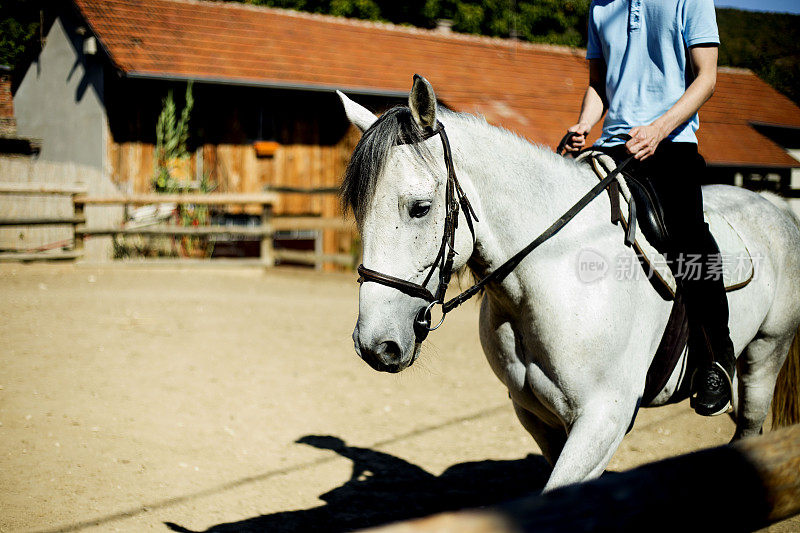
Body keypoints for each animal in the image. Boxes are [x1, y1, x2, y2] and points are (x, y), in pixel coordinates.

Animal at [338, 76, 800, 490]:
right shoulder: (535, 414)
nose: (375, 344)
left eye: (420, 208)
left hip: (766, 353)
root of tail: (774, 204)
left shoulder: (604, 418)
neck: (553, 276)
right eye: (360, 210)